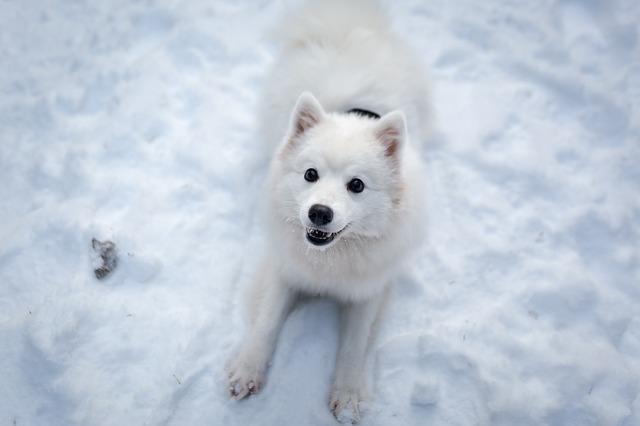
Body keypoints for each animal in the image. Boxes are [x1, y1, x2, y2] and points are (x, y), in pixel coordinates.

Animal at [225, 0, 430, 422]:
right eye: (310, 174)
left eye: (357, 185)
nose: (319, 213)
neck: (331, 259)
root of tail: (347, 26)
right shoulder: (284, 271)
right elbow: (266, 322)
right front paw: (247, 370)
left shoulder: (369, 290)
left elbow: (354, 345)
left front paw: (348, 396)